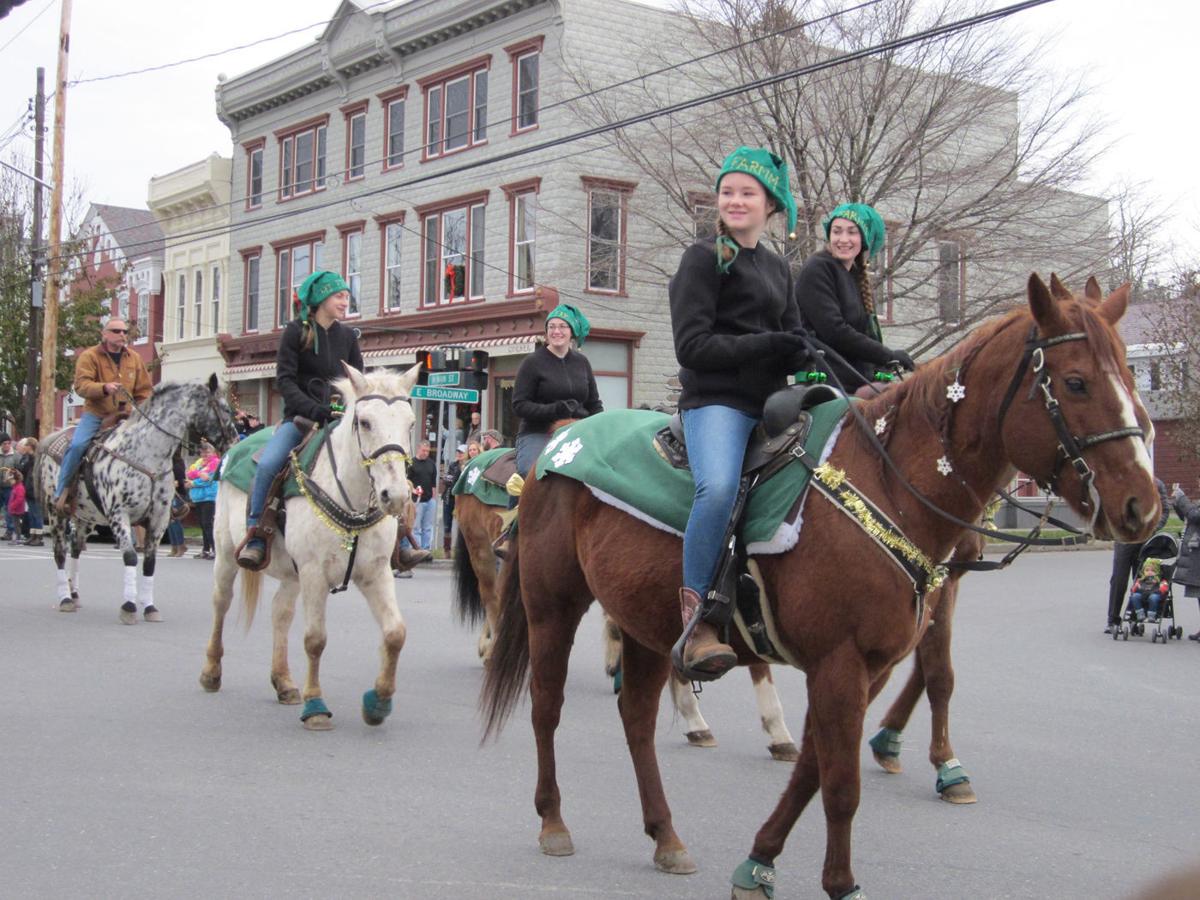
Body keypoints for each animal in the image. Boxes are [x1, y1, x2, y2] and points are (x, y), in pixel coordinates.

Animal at [35, 376, 238, 624]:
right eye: (225, 409)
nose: (234, 441)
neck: (147, 455)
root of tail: (52, 438)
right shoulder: (118, 515)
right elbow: (131, 557)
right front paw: (129, 606)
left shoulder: (159, 519)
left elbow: (149, 562)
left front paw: (150, 607)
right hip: (56, 512)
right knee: (60, 552)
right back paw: (65, 598)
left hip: (86, 516)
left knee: (76, 547)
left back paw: (74, 594)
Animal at [477, 277, 1161, 900]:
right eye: (1076, 382)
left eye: (1132, 378)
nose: (1142, 507)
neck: (887, 481)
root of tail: (558, 446)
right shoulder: (839, 662)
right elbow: (839, 785)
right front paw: (839, 883)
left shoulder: (870, 664)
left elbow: (817, 763)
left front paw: (759, 863)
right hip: (553, 606)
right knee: (545, 706)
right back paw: (553, 821)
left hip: (646, 623)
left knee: (638, 720)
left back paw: (666, 835)